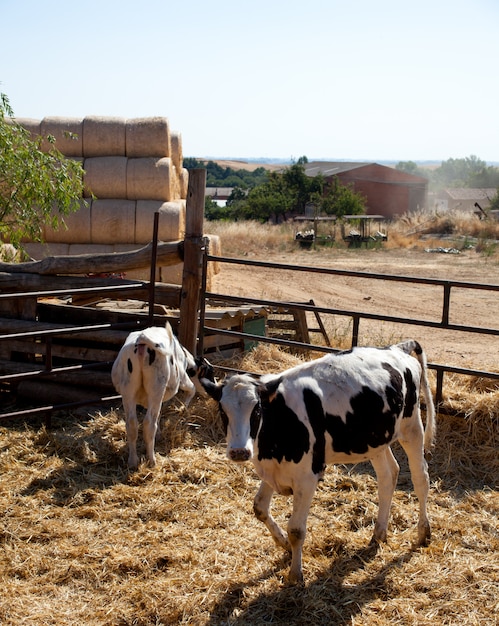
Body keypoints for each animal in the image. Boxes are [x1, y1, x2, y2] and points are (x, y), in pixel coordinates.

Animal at [111, 324, 213, 466]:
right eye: (210, 372)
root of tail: (142, 338)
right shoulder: (182, 379)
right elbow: (192, 389)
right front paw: (183, 409)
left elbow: (158, 414)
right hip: (156, 388)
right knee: (149, 424)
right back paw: (152, 460)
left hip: (128, 390)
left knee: (132, 424)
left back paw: (133, 461)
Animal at [201, 338, 436, 584]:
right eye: (222, 410)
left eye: (256, 410)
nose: (239, 451)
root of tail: (395, 348)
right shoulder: (273, 469)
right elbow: (259, 508)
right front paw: (283, 543)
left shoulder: (307, 477)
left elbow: (296, 530)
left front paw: (295, 574)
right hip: (375, 440)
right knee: (388, 476)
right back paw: (379, 533)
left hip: (412, 427)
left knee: (421, 478)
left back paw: (423, 533)